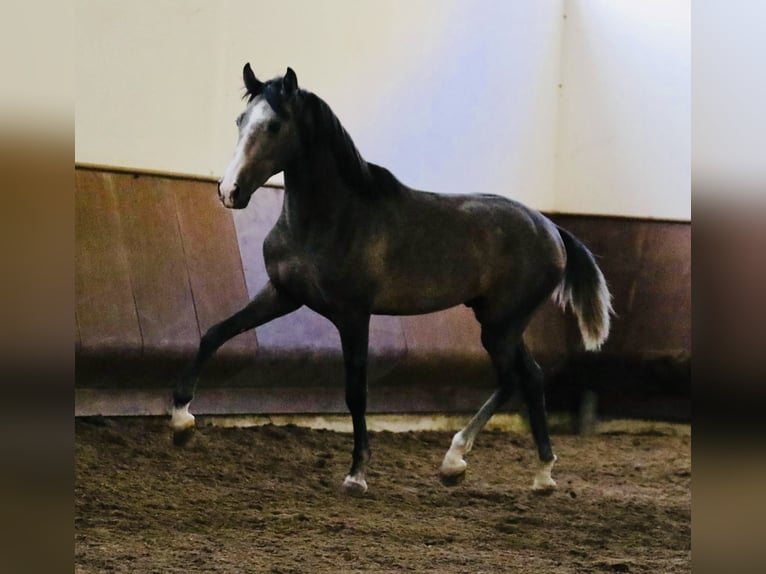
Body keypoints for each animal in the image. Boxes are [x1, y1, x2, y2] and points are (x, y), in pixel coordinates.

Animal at [171, 62, 616, 496]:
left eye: (275, 126)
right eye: (240, 120)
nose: (229, 191)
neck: (331, 219)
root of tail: (552, 228)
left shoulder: (353, 315)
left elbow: (356, 391)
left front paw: (356, 474)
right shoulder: (282, 294)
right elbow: (214, 334)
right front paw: (180, 422)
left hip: (500, 324)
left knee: (511, 379)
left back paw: (455, 460)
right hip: (499, 320)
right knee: (532, 376)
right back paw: (540, 475)